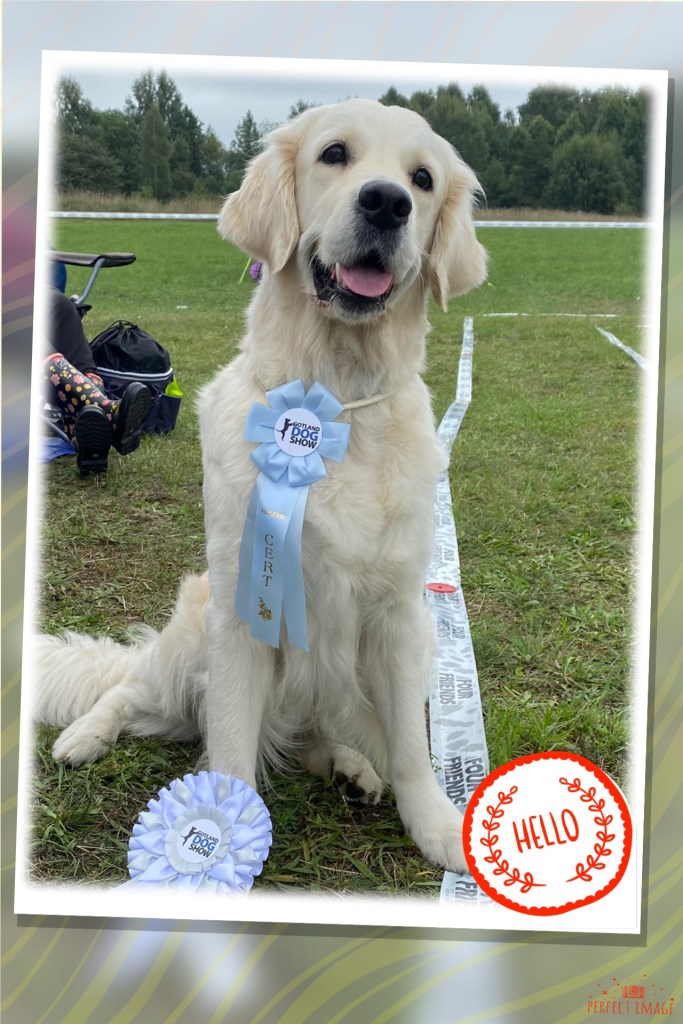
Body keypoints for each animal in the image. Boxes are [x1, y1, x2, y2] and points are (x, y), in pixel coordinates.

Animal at [32, 99, 487, 874]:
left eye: (422, 179)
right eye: (334, 155)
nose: (386, 203)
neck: (335, 401)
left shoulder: (400, 617)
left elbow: (411, 746)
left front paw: (432, 822)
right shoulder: (240, 612)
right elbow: (231, 746)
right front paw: (218, 840)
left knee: (321, 737)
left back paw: (350, 766)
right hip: (188, 644)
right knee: (128, 688)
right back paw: (83, 736)